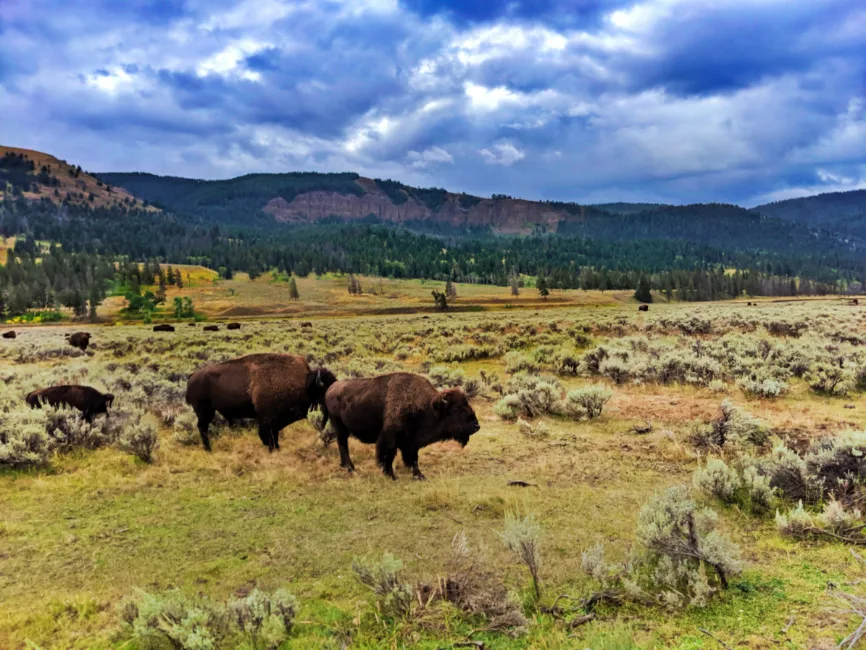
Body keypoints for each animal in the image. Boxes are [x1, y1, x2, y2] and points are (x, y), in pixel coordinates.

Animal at [184, 354, 336, 450]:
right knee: (202, 427)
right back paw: (208, 449)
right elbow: (268, 437)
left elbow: (274, 437)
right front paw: (272, 449)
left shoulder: (275, 422)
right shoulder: (266, 419)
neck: (304, 384)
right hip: (204, 411)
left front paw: (277, 448)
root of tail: (193, 375)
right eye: (325, 390)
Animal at [324, 372, 480, 478]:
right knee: (343, 444)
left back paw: (346, 467)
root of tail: (331, 387)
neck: (426, 405)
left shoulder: (412, 442)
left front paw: (419, 475)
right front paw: (391, 475)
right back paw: (351, 468)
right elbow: (389, 455)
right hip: (339, 426)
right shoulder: (390, 437)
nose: (476, 426)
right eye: (456, 409)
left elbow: (413, 459)